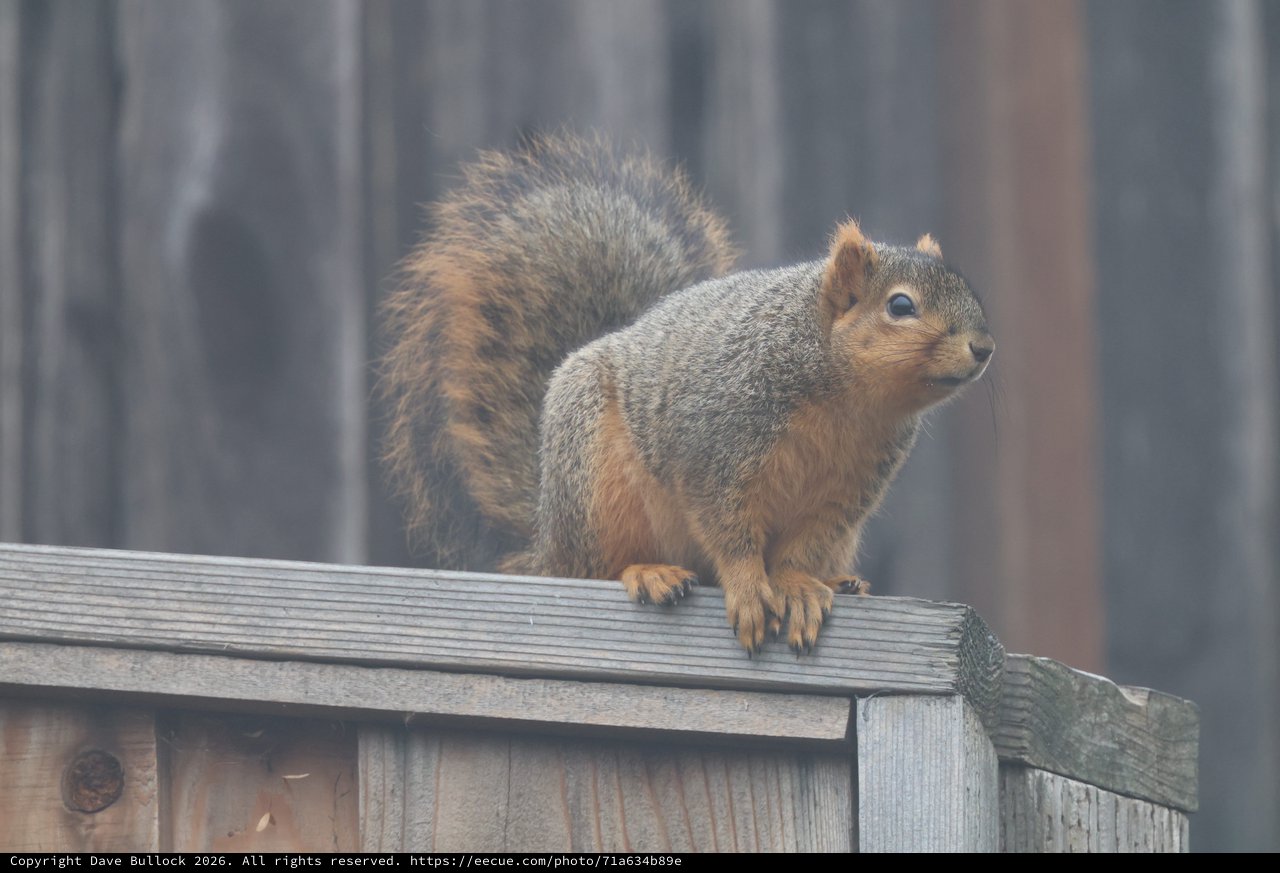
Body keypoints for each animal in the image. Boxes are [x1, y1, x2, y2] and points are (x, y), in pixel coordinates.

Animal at [381, 132, 994, 654]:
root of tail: (547, 541)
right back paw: (647, 572)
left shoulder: (847, 493)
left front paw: (796, 585)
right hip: (596, 487)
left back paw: (841, 581)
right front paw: (748, 588)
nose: (984, 347)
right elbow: (727, 527)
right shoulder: (715, 445)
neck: (846, 399)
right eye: (900, 306)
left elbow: (804, 545)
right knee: (596, 568)